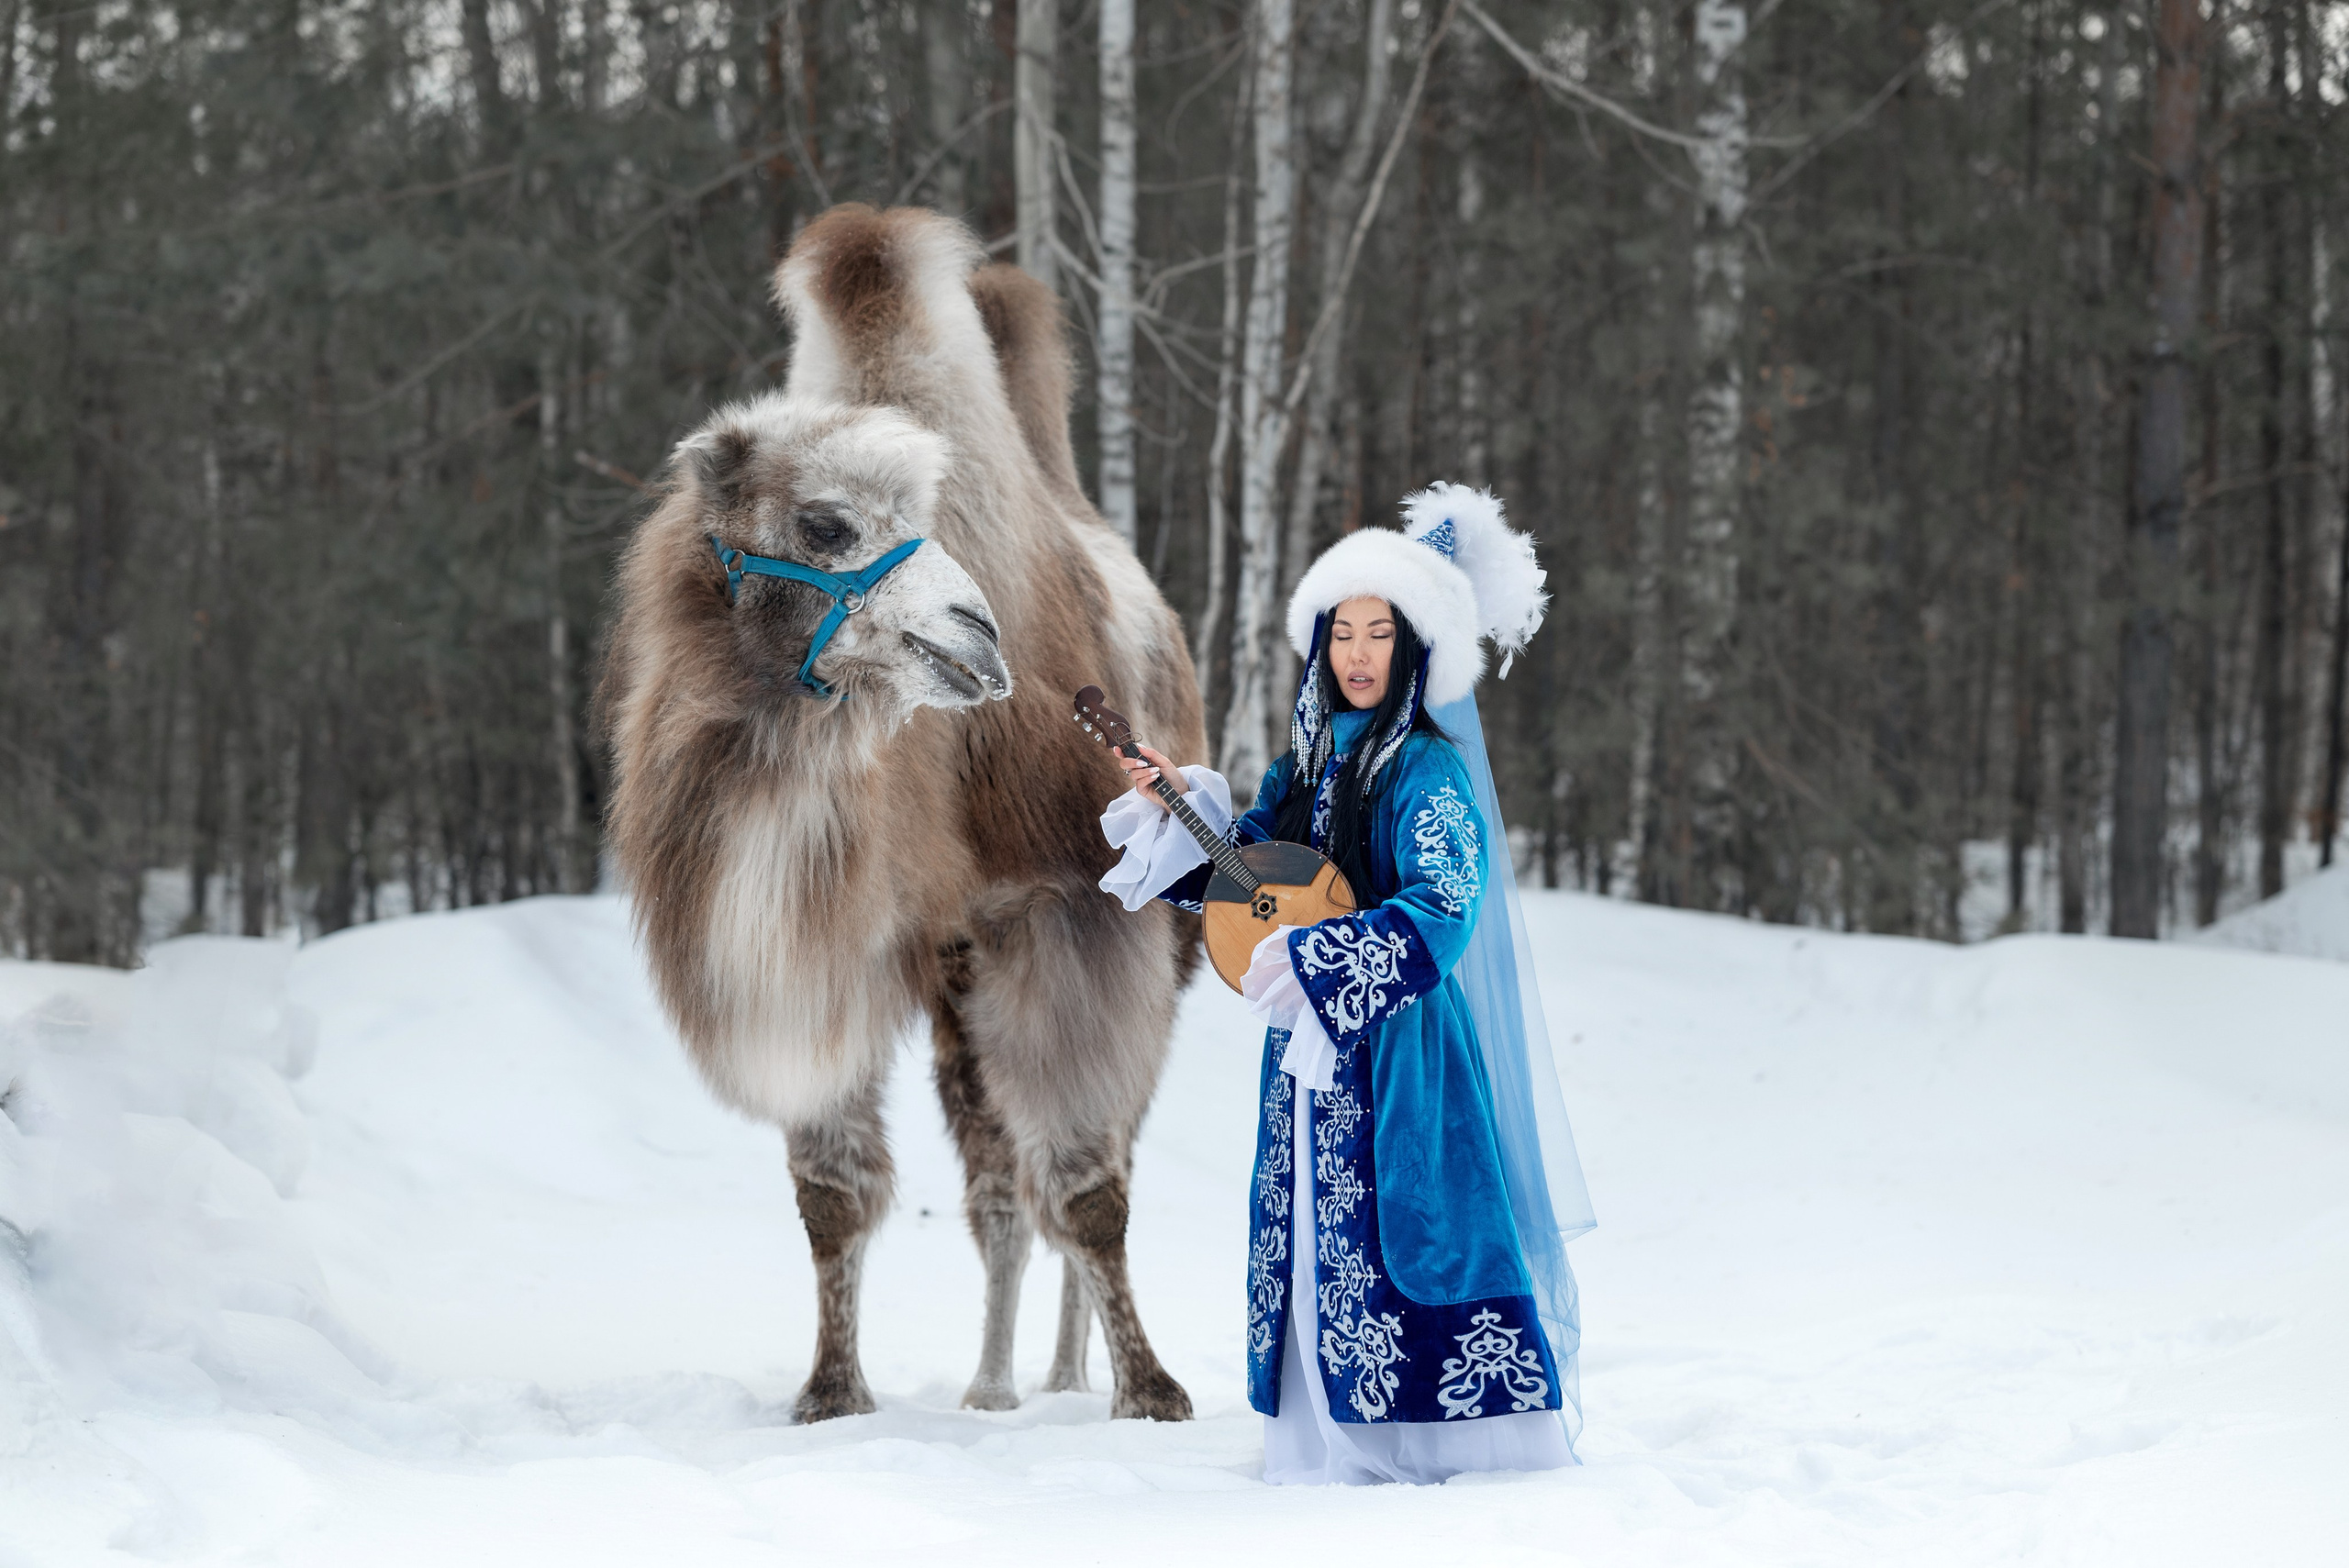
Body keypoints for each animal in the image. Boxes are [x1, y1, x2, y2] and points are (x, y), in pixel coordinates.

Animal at [601, 205, 1204, 1423]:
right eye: (825, 522)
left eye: (928, 520)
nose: (977, 632)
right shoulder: (830, 943)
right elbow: (833, 1191)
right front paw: (832, 1392)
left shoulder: (1066, 914)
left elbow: (1089, 1183)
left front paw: (1153, 1393)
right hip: (960, 989)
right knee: (997, 1186)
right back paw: (999, 1383)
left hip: (1132, 960)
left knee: (1076, 1158)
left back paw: (1063, 1374)